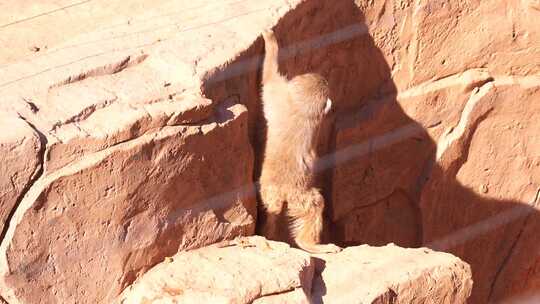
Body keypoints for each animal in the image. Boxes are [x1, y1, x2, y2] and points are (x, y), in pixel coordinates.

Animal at [258, 29, 342, 254]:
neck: (298, 108)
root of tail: (280, 192)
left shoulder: (279, 101)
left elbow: (269, 79)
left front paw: (269, 40)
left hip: (270, 194)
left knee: (273, 214)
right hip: (298, 196)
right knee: (315, 203)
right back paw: (311, 244)